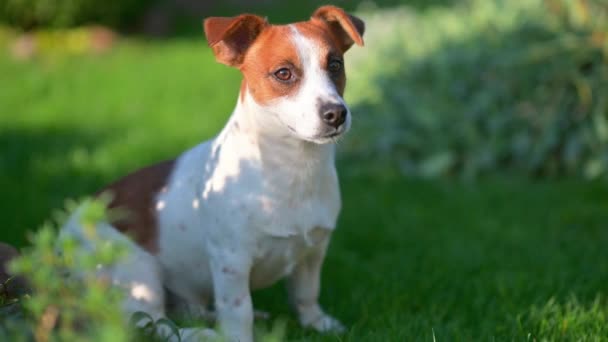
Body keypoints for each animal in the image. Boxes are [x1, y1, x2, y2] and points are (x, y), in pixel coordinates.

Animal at [64, 6, 364, 342]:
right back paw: (199, 334)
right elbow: (237, 311)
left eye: (335, 65)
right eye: (283, 73)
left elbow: (306, 294)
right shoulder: (231, 262)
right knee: (151, 322)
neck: (291, 169)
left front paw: (318, 323)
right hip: (138, 272)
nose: (336, 114)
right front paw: (239, 336)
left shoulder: (313, 252)